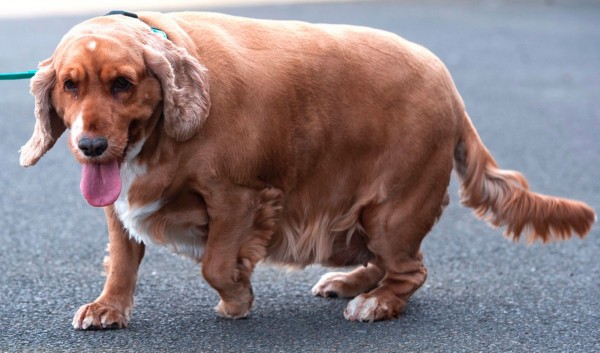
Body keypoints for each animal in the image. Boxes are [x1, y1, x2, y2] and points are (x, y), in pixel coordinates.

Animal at [19, 11, 596, 328]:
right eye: (70, 85)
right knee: (390, 263)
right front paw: (109, 308)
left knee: (411, 270)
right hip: (357, 225)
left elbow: (216, 264)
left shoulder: (240, 197)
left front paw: (238, 299)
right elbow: (122, 262)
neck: (161, 137)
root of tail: (452, 91)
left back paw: (374, 303)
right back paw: (350, 283)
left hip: (389, 213)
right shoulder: (121, 204)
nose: (91, 146)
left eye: (123, 84)